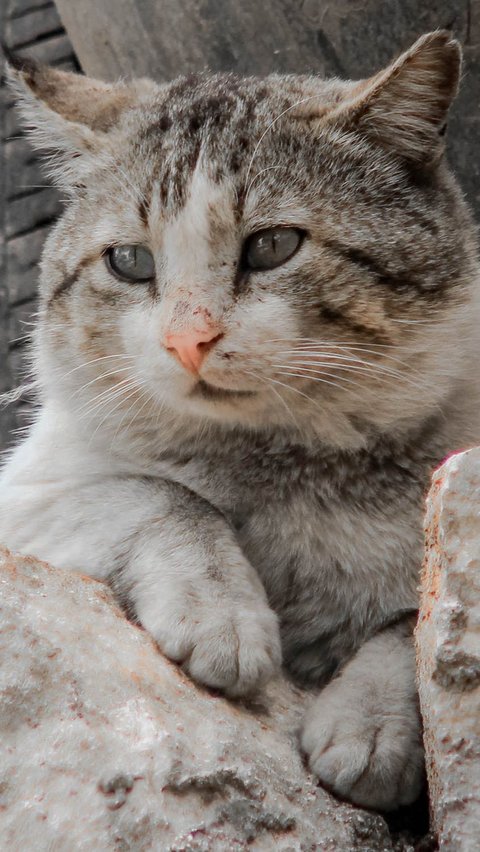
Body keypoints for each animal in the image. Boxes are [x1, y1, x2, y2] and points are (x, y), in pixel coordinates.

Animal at [0, 28, 480, 812]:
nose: (187, 341)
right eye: (129, 261)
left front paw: (371, 725)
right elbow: (166, 497)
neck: (293, 465)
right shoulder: (26, 501)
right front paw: (222, 617)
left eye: (273, 246)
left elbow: (416, 623)